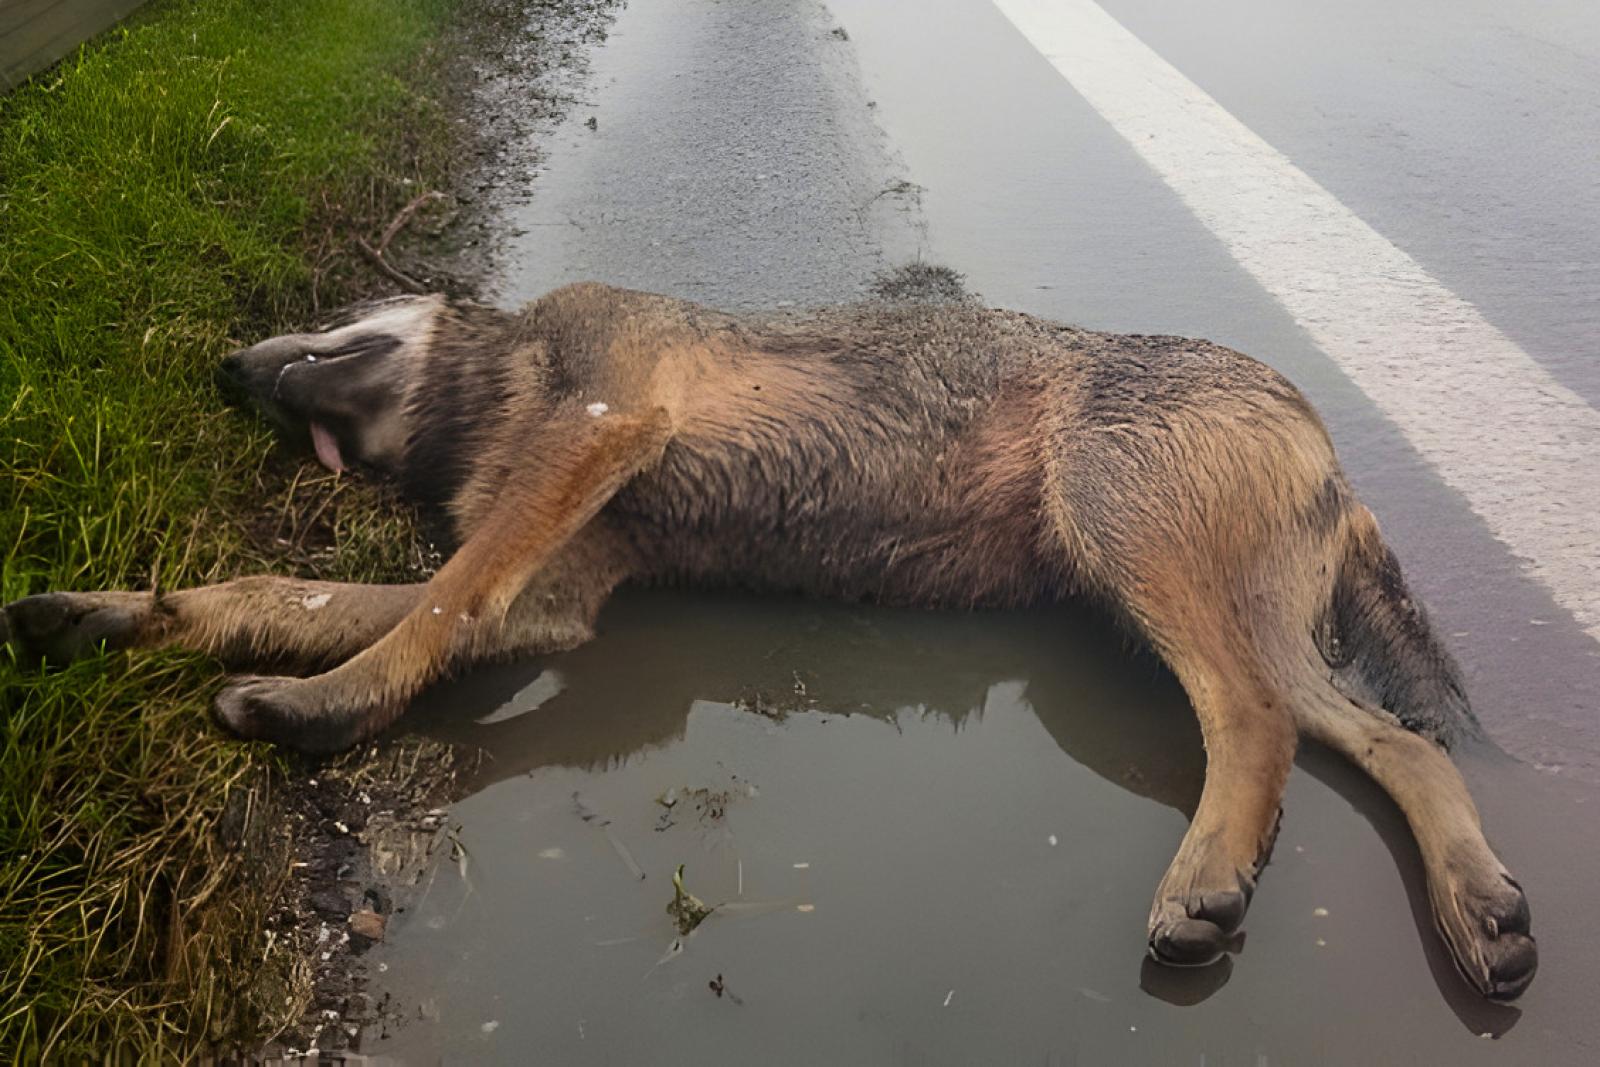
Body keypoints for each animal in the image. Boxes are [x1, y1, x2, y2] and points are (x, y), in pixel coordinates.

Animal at [1, 281, 1536, 999]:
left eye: (312, 318)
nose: (225, 369)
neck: (485, 395)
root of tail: (1326, 433)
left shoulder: (602, 422)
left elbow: (437, 604)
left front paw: (329, 706)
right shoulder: (558, 587)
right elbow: (289, 587)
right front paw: (108, 616)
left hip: (1128, 549)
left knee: (1257, 728)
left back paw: (1207, 882)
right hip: (1216, 609)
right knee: (1397, 745)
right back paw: (1481, 912)